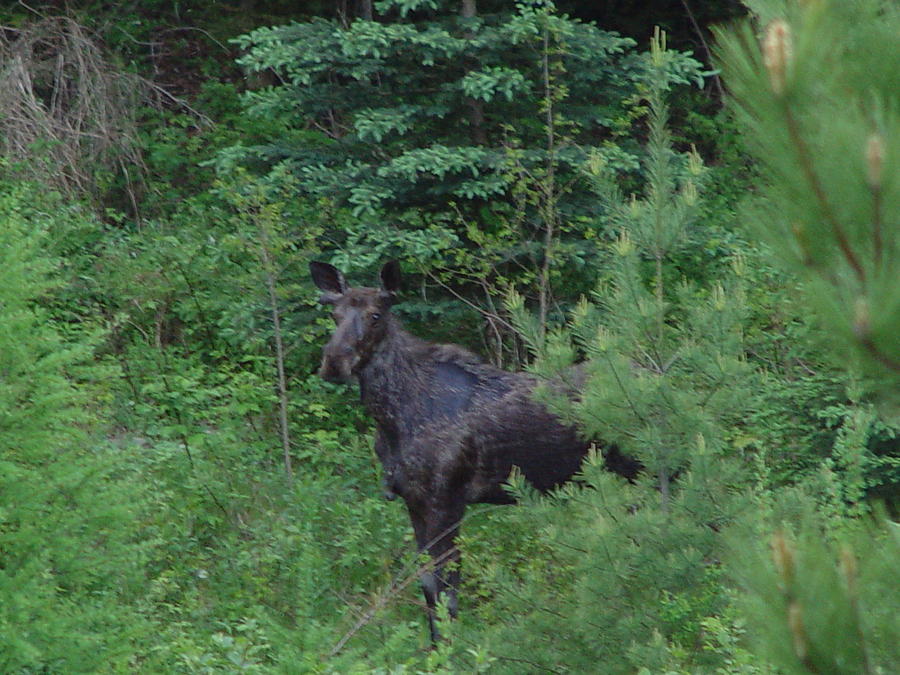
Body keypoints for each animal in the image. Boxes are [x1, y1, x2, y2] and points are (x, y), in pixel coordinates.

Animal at [312, 262, 636, 640]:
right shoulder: (414, 502)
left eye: (375, 315)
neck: (393, 419)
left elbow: (447, 591)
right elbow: (427, 587)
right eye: (334, 314)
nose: (334, 363)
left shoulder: (446, 501)